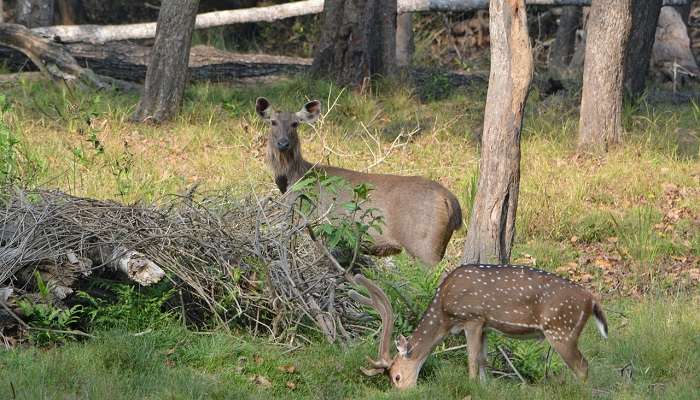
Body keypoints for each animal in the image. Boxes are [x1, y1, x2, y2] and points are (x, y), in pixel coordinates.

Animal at [254, 97, 462, 268]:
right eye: (273, 122)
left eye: (295, 124)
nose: (283, 143)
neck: (296, 178)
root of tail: (451, 201)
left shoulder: (312, 225)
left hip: (425, 246)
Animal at [352, 264, 608, 390]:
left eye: (396, 377)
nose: (403, 392)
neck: (445, 313)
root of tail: (592, 300)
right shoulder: (486, 325)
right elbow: (484, 360)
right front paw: (485, 386)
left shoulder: (472, 317)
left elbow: (472, 359)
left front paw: (472, 385)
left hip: (561, 330)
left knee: (582, 366)